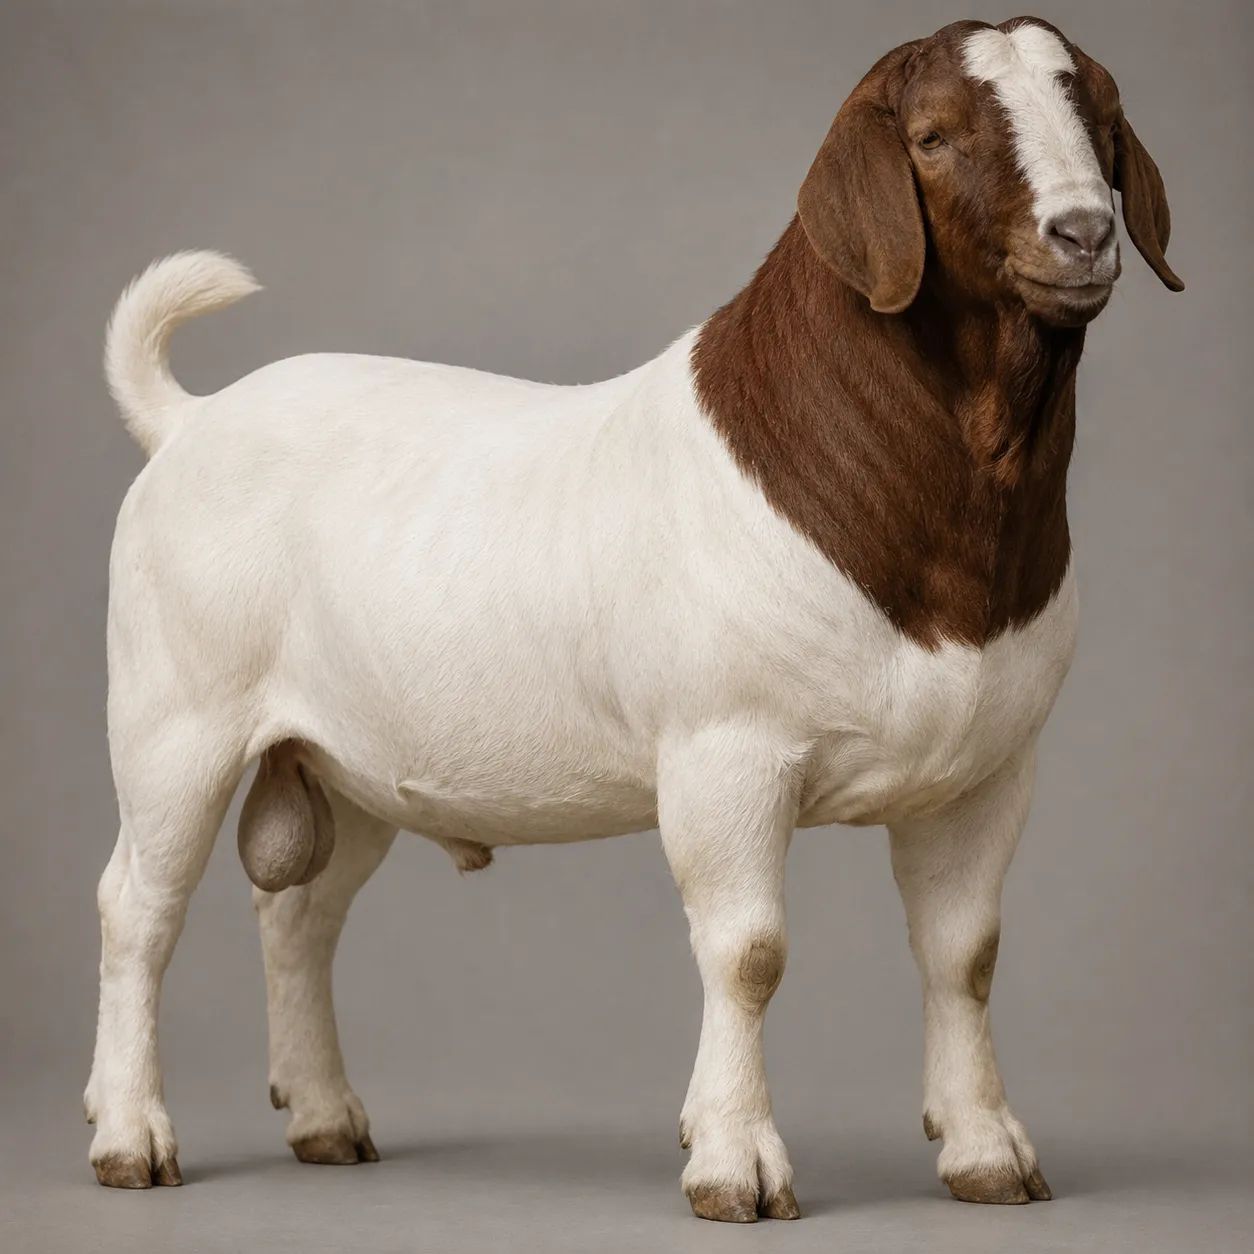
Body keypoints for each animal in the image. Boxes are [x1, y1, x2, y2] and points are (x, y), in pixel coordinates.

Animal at [85, 16, 1181, 1220]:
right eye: (934, 136)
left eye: (1099, 115)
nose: (1082, 234)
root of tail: (188, 421)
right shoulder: (726, 753)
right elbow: (748, 952)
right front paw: (736, 1166)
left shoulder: (990, 771)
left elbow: (964, 954)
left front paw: (988, 1154)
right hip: (174, 718)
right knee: (138, 907)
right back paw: (130, 1138)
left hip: (343, 756)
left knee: (302, 914)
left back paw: (326, 1120)